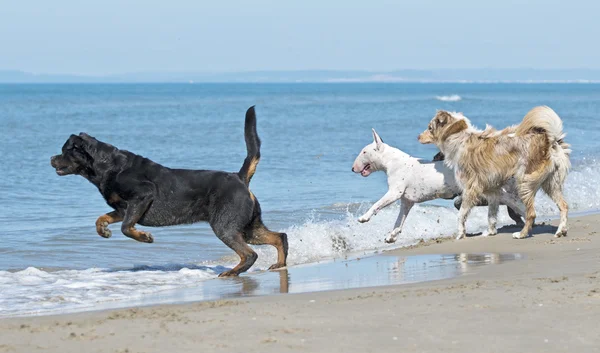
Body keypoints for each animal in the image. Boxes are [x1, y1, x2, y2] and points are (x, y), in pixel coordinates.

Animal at [50, 106, 288, 276]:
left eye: (64, 150)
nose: (51, 158)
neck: (107, 166)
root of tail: (239, 177)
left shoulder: (142, 195)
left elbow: (126, 228)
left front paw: (144, 237)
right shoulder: (122, 208)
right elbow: (102, 218)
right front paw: (103, 230)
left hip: (225, 226)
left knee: (249, 254)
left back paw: (231, 273)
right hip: (248, 226)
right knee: (279, 237)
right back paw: (279, 264)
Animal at [420, 106, 568, 239]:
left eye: (429, 128)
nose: (418, 137)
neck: (458, 137)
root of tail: (549, 141)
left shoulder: (470, 189)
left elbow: (461, 214)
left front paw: (460, 234)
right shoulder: (492, 191)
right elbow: (491, 215)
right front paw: (491, 232)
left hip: (524, 183)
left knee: (531, 213)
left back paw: (521, 234)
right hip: (551, 184)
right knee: (564, 206)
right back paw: (561, 230)